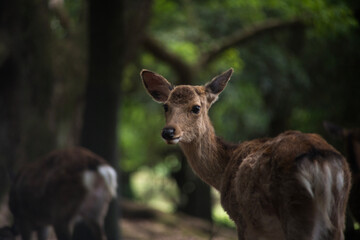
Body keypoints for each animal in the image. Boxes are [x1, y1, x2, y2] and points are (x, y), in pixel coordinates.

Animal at [141, 68, 352, 239]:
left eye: (196, 107)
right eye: (166, 106)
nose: (168, 132)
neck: (223, 171)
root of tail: (320, 160)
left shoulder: (242, 220)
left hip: (296, 212)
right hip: (338, 217)